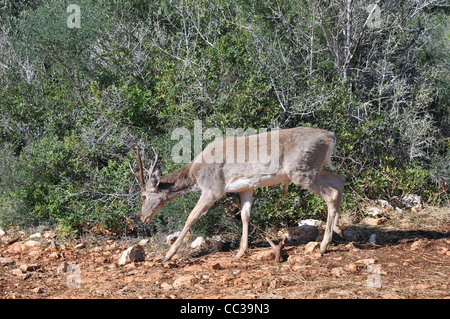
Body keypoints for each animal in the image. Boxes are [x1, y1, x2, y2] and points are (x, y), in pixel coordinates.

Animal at [131, 126, 348, 264]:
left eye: (143, 196)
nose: (143, 217)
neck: (195, 174)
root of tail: (330, 136)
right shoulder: (246, 187)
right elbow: (245, 215)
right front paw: (241, 252)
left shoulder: (213, 189)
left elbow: (191, 218)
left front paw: (168, 255)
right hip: (314, 169)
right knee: (340, 179)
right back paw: (339, 232)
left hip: (301, 170)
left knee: (331, 194)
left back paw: (324, 245)